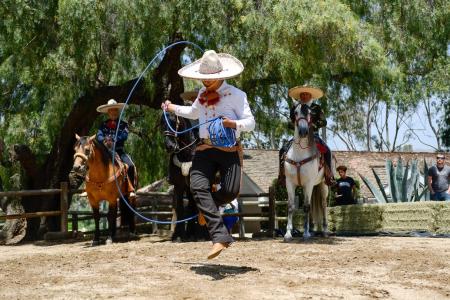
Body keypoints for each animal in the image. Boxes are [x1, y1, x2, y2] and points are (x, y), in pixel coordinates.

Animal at [284, 102, 328, 240]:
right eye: (295, 112)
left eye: (309, 113)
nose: (303, 131)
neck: (300, 154)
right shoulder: (290, 183)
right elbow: (291, 207)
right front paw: (288, 233)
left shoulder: (308, 183)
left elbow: (307, 207)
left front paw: (306, 233)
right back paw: (313, 229)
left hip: (323, 185)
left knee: (323, 205)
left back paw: (325, 230)